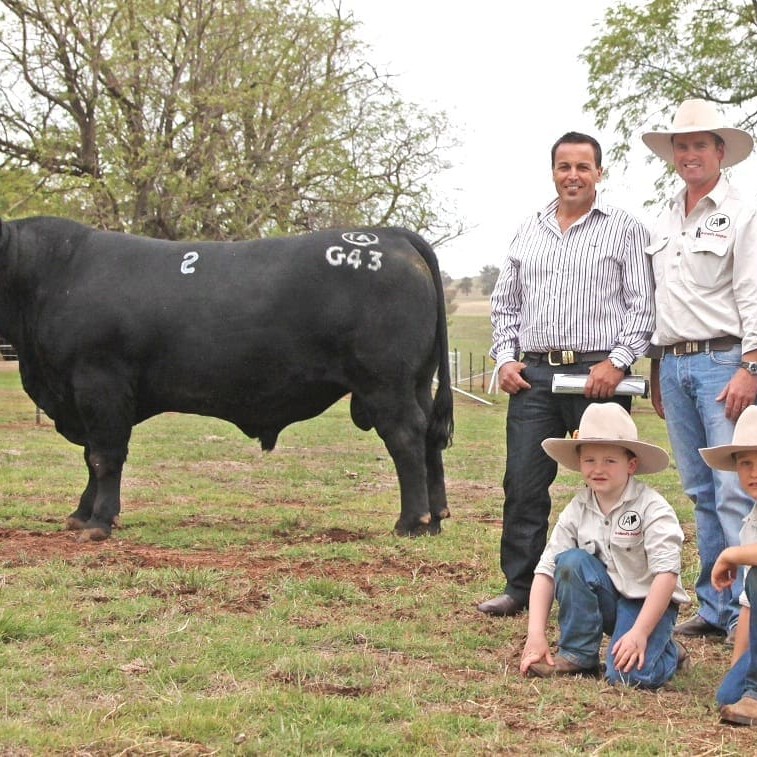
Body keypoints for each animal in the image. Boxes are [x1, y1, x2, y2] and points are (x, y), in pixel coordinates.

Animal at [0, 216, 452, 540]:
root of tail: (386, 234)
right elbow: (91, 457)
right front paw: (80, 515)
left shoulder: (99, 384)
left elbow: (104, 456)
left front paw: (98, 523)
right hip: (417, 381)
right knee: (430, 437)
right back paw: (434, 519)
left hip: (386, 384)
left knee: (406, 437)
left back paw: (411, 522)